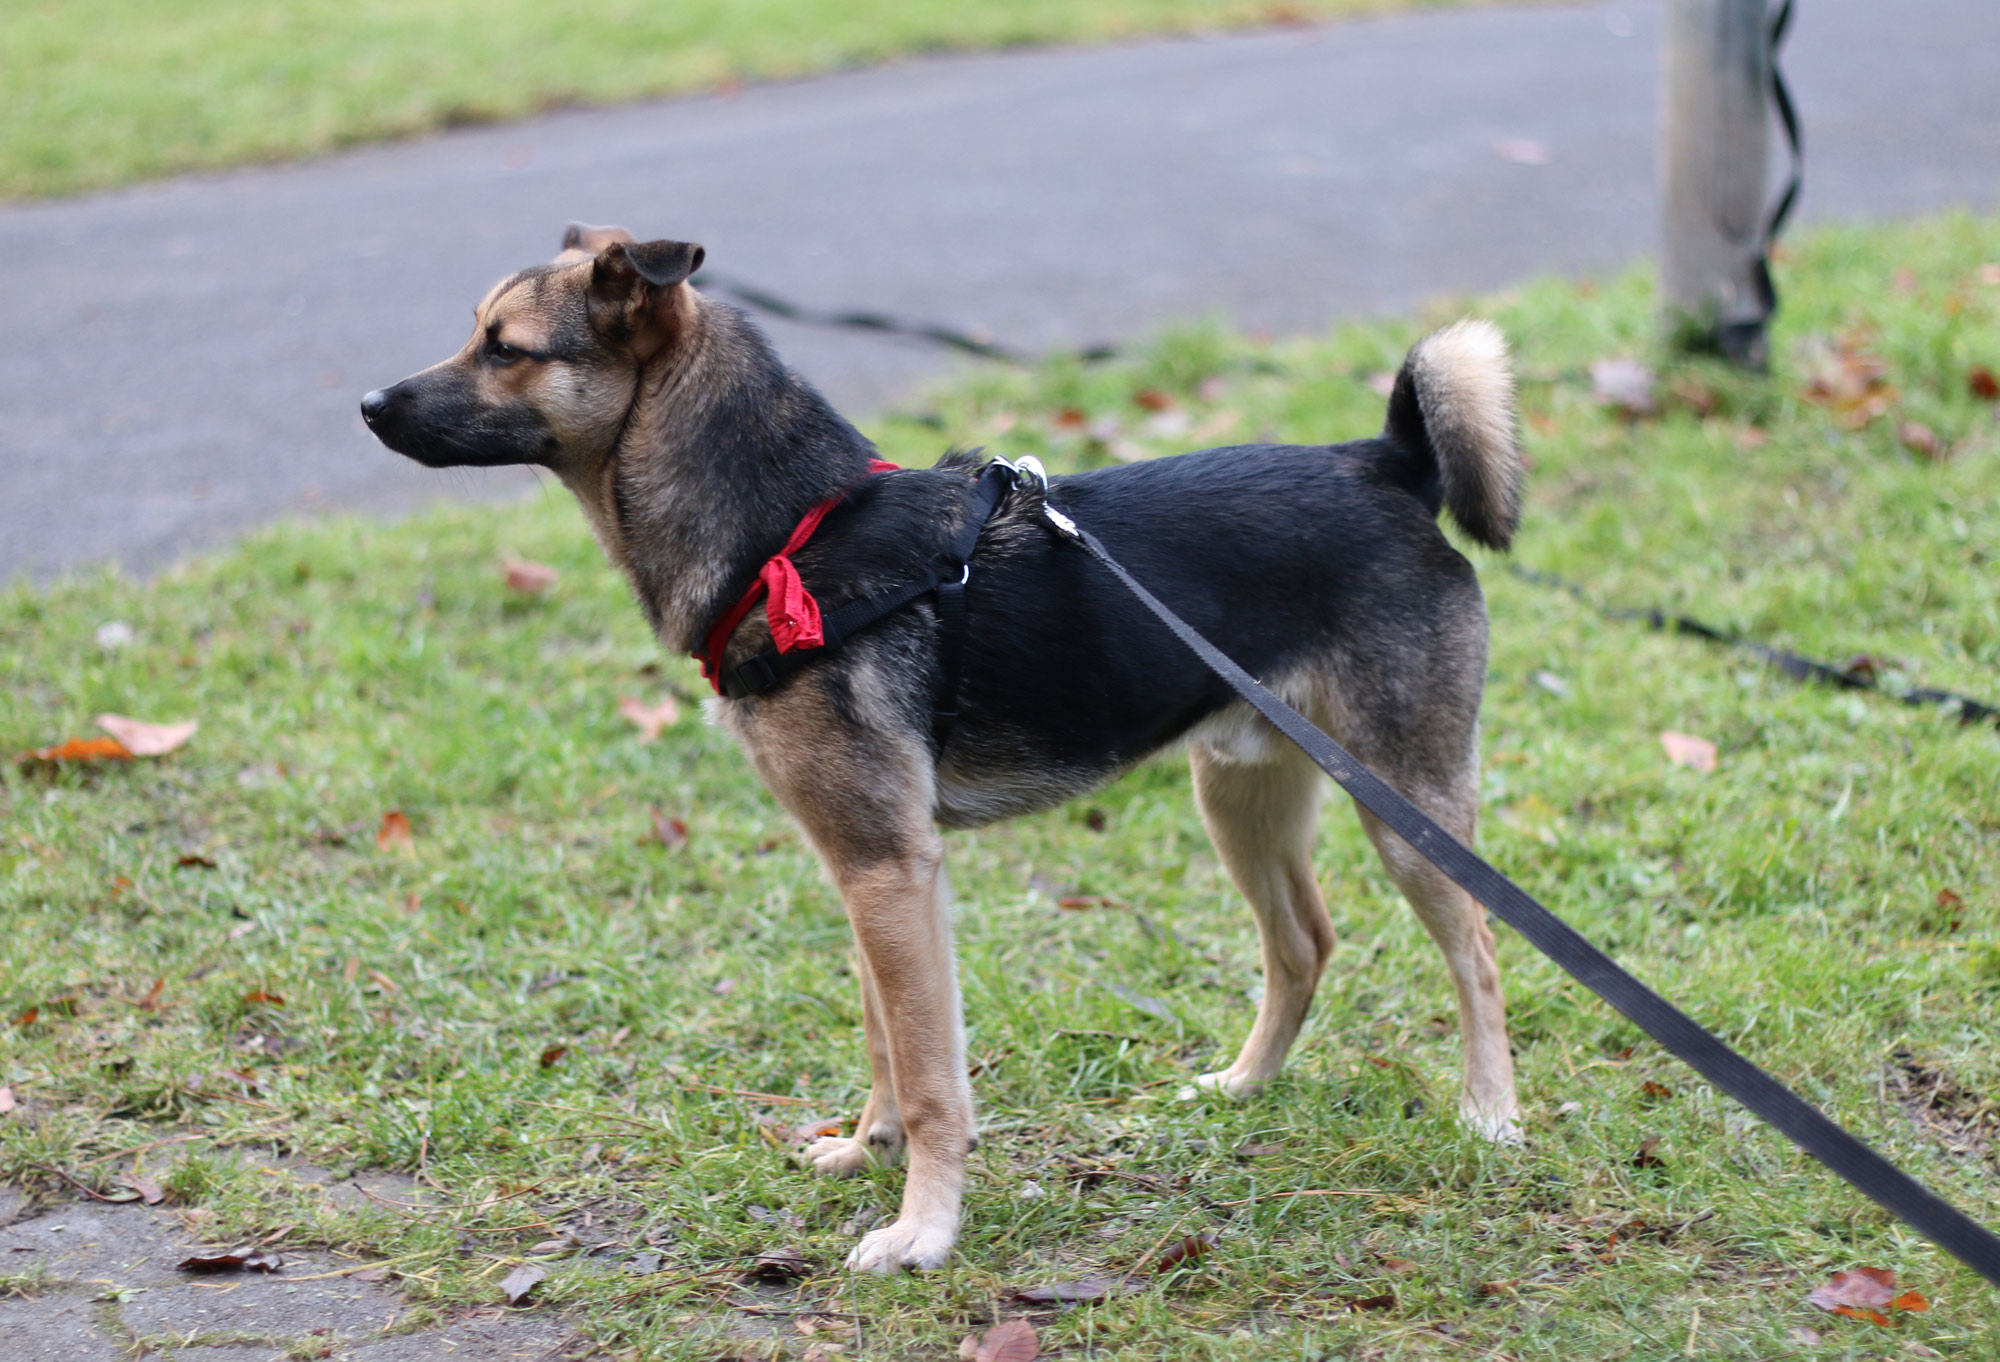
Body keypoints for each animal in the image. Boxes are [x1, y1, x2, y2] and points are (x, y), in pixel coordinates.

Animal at [360, 226, 1520, 1272]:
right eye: (477, 333)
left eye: (506, 347)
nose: (370, 404)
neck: (795, 536)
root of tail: (1382, 465)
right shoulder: (862, 870)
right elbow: (883, 1035)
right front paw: (864, 1151)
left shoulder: (889, 866)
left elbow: (927, 1078)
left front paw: (922, 1232)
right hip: (1238, 793)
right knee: (1303, 944)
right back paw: (1244, 1087)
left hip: (1405, 809)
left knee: (1477, 949)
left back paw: (1491, 1115)